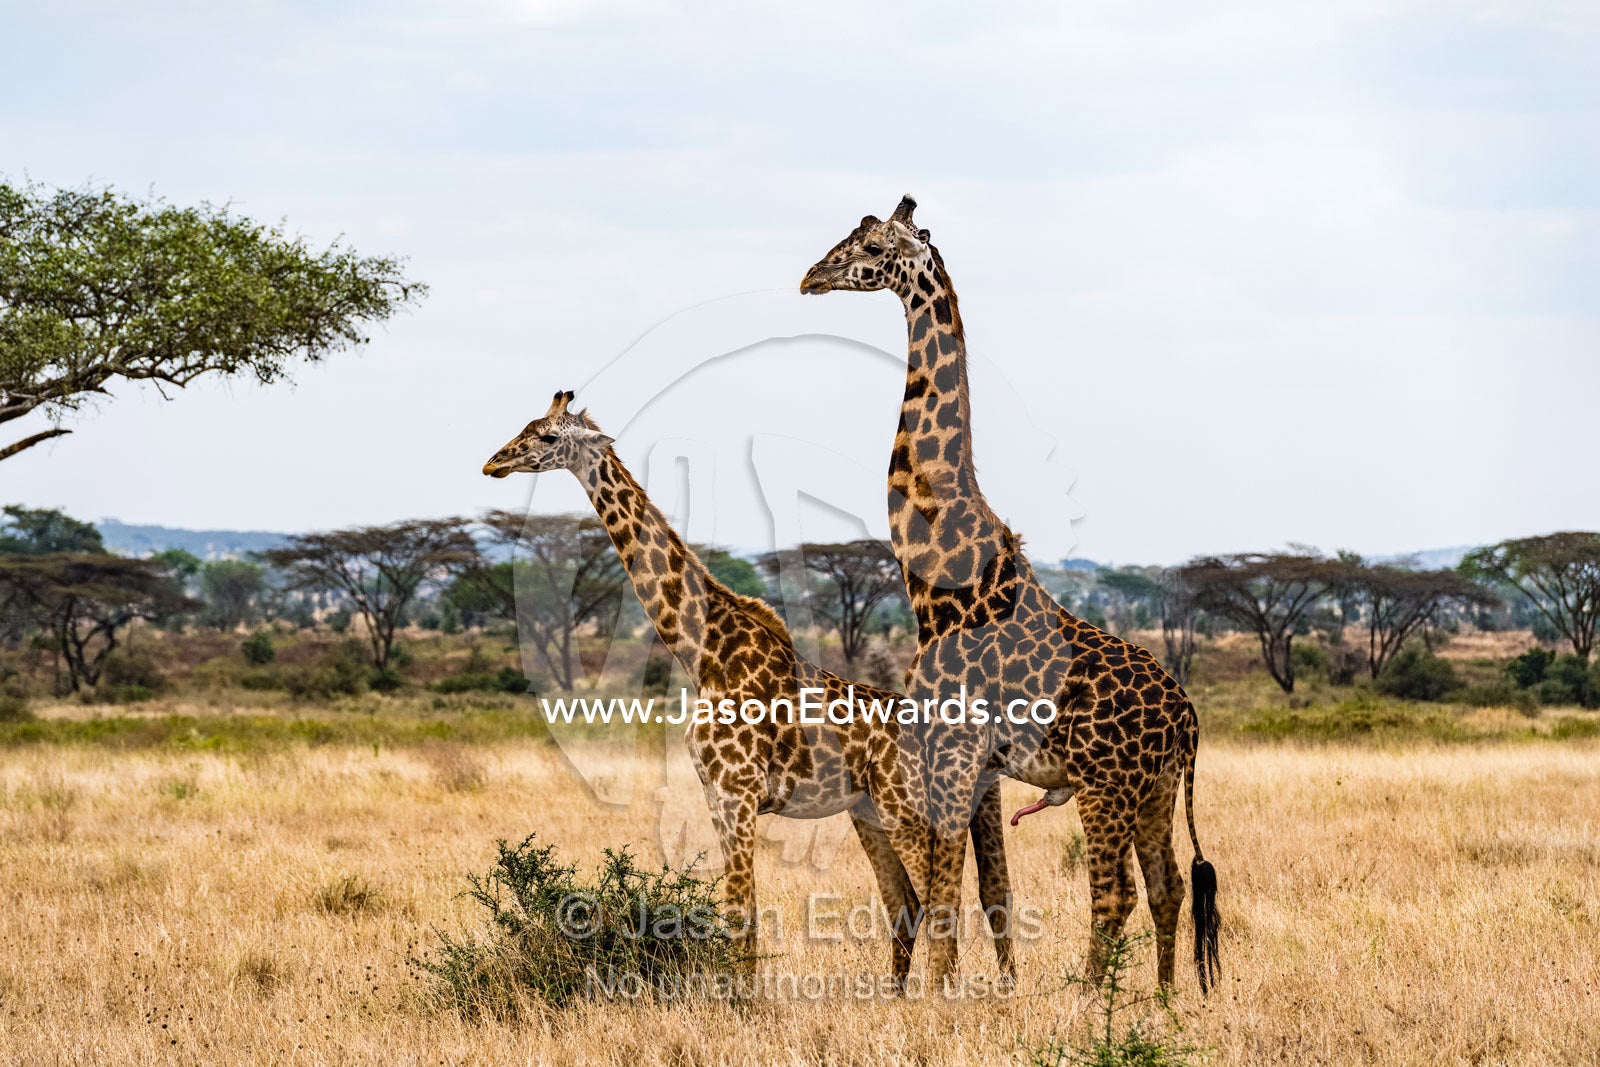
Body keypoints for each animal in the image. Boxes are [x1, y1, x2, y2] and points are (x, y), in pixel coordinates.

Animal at [482, 390, 1018, 988]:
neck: (704, 653)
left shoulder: (737, 793)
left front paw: (745, 1000)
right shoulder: (716, 799)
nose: (494, 463)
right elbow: (742, 912)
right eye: (526, 425)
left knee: (943, 898)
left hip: (907, 805)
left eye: (549, 437)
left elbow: (742, 912)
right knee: (922, 900)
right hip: (872, 812)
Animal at [800, 197, 1221, 993]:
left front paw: (936, 997)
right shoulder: (981, 765)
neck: (936, 585)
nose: (811, 276)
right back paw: (1163, 1000)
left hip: (1106, 785)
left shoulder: (951, 747)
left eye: (869, 247)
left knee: (1113, 891)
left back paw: (1093, 1001)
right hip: (1152, 791)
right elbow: (992, 887)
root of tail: (1186, 718)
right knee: (1169, 885)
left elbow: (945, 892)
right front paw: (1000, 990)